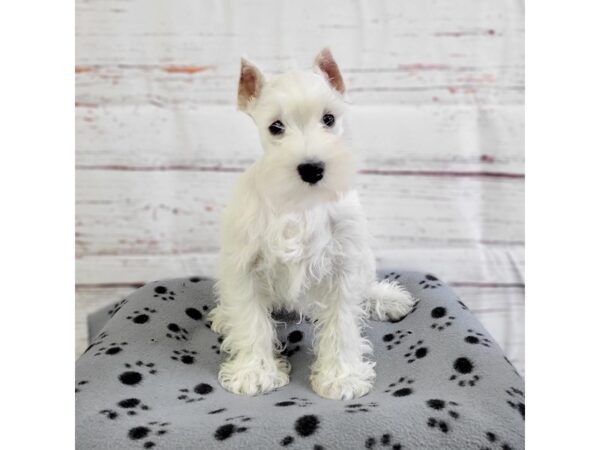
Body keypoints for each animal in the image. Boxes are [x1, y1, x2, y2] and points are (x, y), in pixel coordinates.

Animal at [209, 49, 414, 400]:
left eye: (329, 119)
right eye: (276, 127)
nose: (312, 168)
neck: (299, 203)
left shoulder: (343, 265)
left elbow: (342, 323)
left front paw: (341, 376)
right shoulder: (244, 265)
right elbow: (250, 320)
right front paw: (254, 372)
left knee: (365, 287)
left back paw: (386, 299)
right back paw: (225, 316)